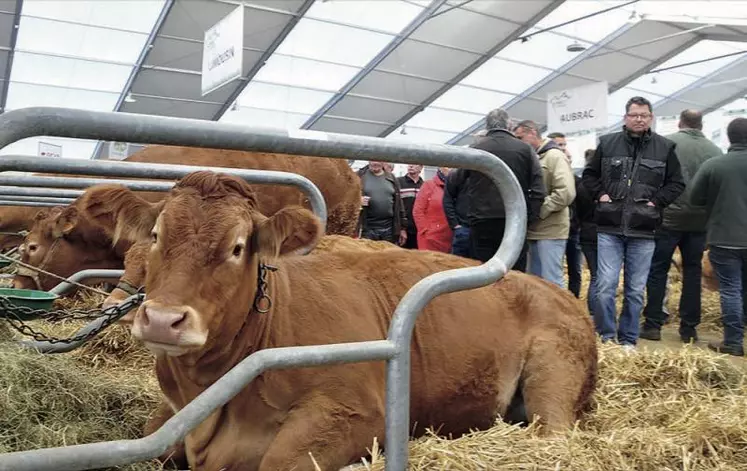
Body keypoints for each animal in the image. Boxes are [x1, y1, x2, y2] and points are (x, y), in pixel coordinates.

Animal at [77, 172, 600, 471]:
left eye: (238, 247)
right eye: (157, 235)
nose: (163, 320)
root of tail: (559, 292)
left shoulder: (355, 414)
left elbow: (279, 462)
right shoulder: (170, 418)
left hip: (554, 374)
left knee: (552, 434)